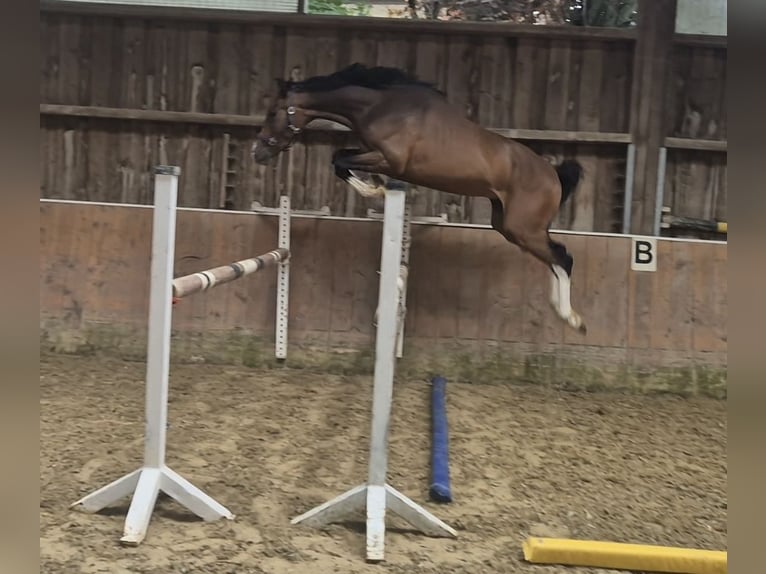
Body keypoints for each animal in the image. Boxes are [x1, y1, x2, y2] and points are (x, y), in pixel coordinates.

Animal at [251, 63, 587, 334]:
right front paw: (377, 187)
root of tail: (553, 174)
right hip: (507, 226)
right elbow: (341, 159)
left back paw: (571, 318)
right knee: (554, 257)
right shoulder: (374, 155)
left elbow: (341, 161)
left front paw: (376, 190)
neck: (381, 106)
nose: (258, 152)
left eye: (272, 112)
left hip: (523, 228)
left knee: (563, 257)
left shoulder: (390, 160)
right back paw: (564, 312)